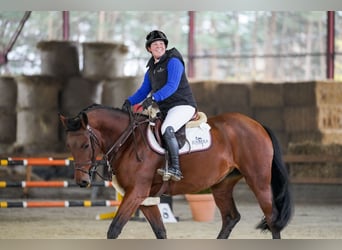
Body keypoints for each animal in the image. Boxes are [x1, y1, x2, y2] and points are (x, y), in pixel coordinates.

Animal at [58, 103, 292, 238]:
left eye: (85, 145)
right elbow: (160, 231)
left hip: (258, 180)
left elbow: (114, 229)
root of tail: (257, 125)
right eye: (69, 145)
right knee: (230, 218)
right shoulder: (145, 198)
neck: (128, 141)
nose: (81, 181)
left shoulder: (136, 193)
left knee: (272, 219)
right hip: (222, 185)